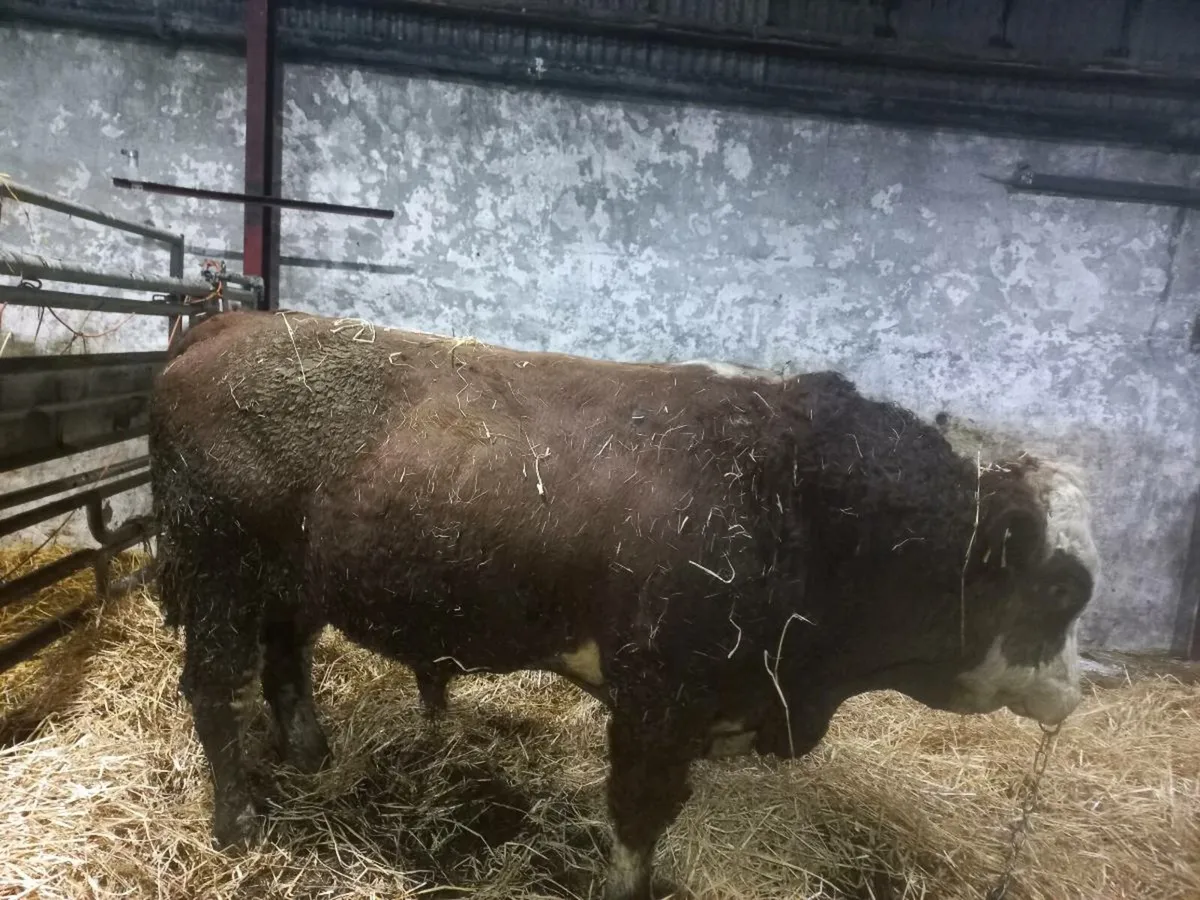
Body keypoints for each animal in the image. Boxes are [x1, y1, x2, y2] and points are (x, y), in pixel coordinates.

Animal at [149, 309, 1099, 900]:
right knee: (215, 689)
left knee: (287, 662)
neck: (802, 499)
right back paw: (237, 820)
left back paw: (312, 756)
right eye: (1065, 588)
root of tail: (234, 324)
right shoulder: (657, 704)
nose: (1079, 690)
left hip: (290, 585)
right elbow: (640, 815)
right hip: (219, 577)